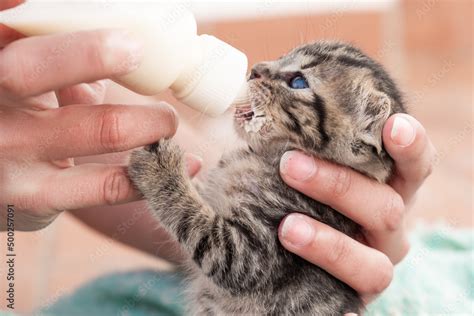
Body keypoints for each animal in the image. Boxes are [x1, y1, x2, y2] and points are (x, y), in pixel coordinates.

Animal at [128, 40, 406, 314]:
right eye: (282, 56)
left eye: (298, 82)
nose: (255, 70)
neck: (262, 156)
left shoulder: (250, 252)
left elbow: (197, 225)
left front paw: (161, 167)